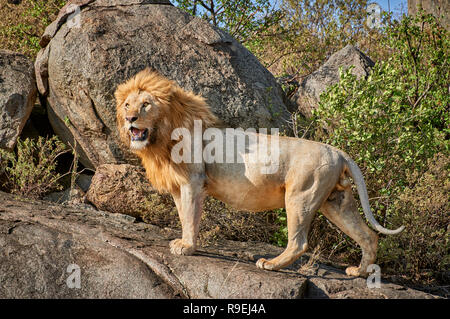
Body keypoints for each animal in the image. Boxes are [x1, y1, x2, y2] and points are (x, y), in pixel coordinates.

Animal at [116, 69, 404, 278]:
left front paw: (186, 247)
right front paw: (185, 243)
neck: (162, 138)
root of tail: (338, 152)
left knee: (299, 242)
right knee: (368, 235)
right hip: (336, 202)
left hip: (300, 196)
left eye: (145, 105)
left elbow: (189, 216)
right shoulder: (178, 185)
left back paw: (270, 264)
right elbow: (183, 214)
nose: (130, 119)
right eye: (127, 105)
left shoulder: (192, 181)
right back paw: (360, 272)